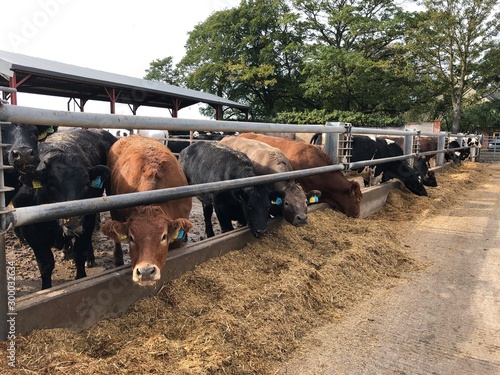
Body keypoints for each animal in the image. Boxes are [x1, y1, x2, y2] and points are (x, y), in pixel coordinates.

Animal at [12, 128, 117, 290]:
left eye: (86, 183)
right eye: (51, 183)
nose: (72, 220)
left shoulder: (86, 221)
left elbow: (79, 252)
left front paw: (81, 277)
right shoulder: (31, 233)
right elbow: (45, 264)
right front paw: (46, 289)